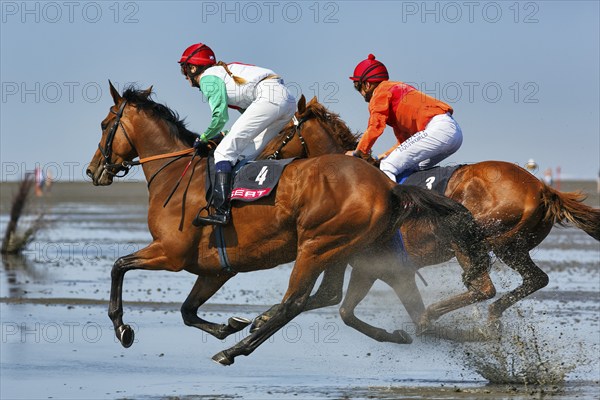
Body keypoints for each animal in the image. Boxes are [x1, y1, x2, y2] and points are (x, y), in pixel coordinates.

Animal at [85, 83, 488, 364]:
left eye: (105, 124)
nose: (93, 170)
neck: (177, 175)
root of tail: (388, 185)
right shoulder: (217, 269)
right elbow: (186, 311)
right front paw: (226, 325)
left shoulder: (170, 254)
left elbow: (119, 265)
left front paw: (122, 326)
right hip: (354, 250)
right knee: (371, 304)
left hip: (318, 246)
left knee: (295, 301)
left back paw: (235, 350)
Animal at [254, 95, 600, 336]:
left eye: (283, 130)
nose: (260, 157)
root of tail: (542, 187)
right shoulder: (362, 263)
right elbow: (327, 302)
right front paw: (257, 319)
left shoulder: (370, 261)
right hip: (512, 247)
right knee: (534, 279)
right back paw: (489, 317)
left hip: (472, 242)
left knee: (483, 288)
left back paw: (435, 314)